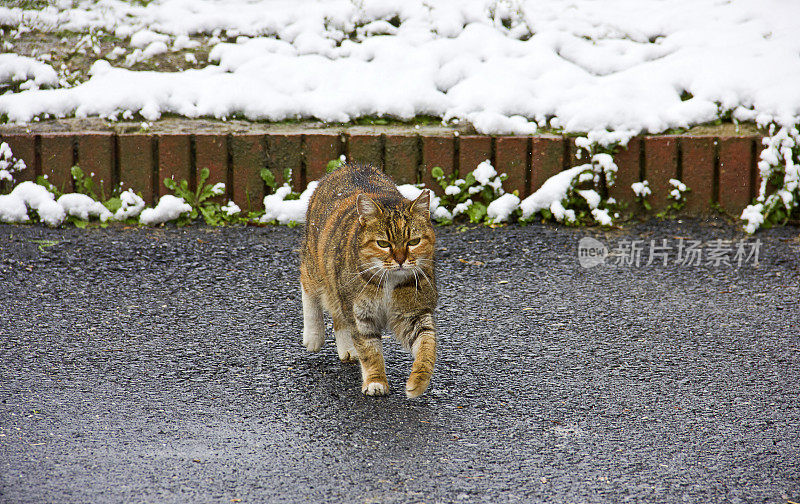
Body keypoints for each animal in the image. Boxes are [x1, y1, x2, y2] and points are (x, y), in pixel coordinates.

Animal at [300, 161, 438, 398]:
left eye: (414, 241)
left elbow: (427, 346)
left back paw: (347, 349)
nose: (400, 259)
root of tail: (350, 165)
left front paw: (418, 381)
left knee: (338, 315)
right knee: (307, 285)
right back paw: (314, 335)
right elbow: (370, 351)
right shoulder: (361, 316)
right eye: (383, 244)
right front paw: (376, 381)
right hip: (316, 265)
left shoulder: (414, 313)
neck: (391, 280)